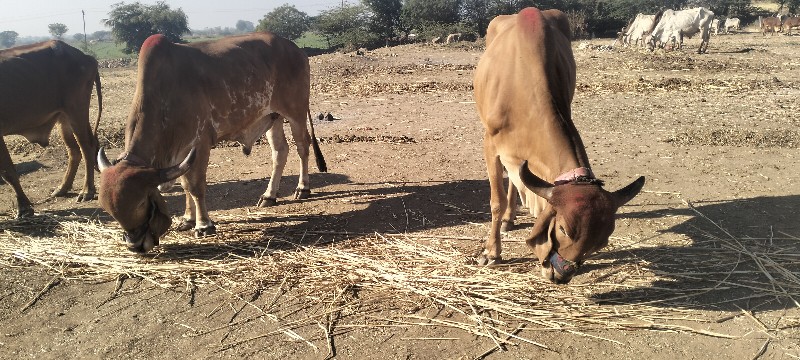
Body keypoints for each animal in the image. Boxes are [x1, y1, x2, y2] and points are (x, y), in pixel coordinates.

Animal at [0, 40, 103, 218]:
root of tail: (86, 57)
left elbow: (8, 172)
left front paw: (24, 207)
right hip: (63, 118)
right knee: (74, 151)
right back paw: (62, 188)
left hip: (76, 110)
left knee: (86, 148)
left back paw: (87, 191)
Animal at [97, 33, 328, 253]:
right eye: (108, 210)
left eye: (141, 202)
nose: (135, 245)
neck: (166, 93)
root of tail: (295, 48)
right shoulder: (182, 154)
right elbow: (185, 184)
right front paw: (187, 219)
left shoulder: (200, 145)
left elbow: (195, 186)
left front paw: (203, 225)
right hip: (273, 117)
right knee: (280, 152)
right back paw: (269, 195)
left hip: (296, 112)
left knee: (302, 147)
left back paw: (303, 188)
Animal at [472, 7, 648, 284]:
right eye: (564, 229)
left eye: (602, 242)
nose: (560, 274)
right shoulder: (490, 144)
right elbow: (496, 202)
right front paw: (491, 252)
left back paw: (511, 218)